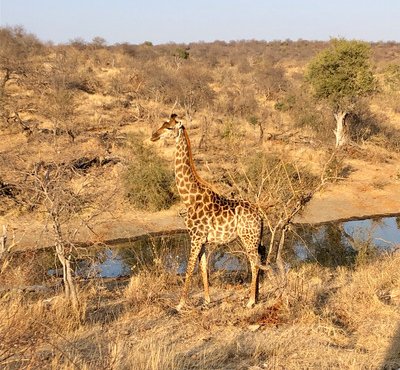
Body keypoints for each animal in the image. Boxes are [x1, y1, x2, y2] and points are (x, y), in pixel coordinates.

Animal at [150, 114, 262, 310]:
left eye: (169, 128)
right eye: (162, 124)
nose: (153, 136)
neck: (189, 197)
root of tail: (260, 216)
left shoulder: (195, 237)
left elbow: (189, 268)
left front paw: (180, 304)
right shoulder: (202, 240)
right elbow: (202, 267)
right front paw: (207, 300)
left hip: (249, 238)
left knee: (255, 263)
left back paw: (250, 301)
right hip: (251, 238)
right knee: (257, 261)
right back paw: (254, 297)